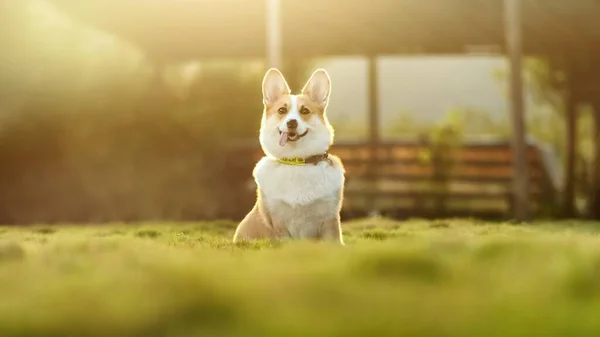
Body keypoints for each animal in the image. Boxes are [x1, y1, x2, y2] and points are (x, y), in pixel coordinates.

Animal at [234, 67, 346, 243]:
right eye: (282, 110)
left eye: (305, 111)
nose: (291, 122)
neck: (297, 161)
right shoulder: (279, 222)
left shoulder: (329, 219)